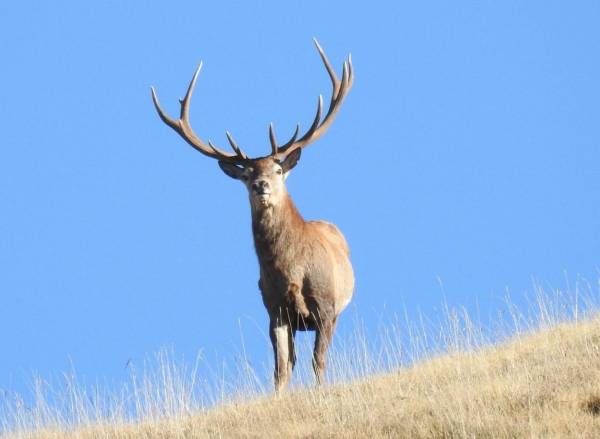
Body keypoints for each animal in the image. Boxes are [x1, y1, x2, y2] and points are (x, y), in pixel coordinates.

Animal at [151, 40, 356, 392]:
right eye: (247, 174)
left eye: (277, 169)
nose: (262, 184)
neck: (291, 271)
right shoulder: (274, 309)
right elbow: (281, 368)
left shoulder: (326, 305)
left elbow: (319, 361)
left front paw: (321, 392)